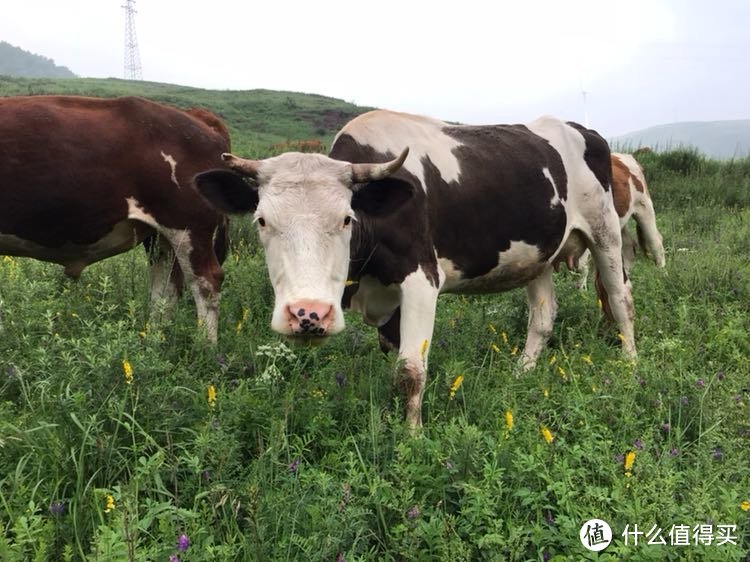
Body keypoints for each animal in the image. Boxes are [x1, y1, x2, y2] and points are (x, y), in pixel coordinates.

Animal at [0, 94, 229, 340]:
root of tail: (195, 115)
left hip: (188, 228)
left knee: (206, 284)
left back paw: (204, 345)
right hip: (161, 238)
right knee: (166, 286)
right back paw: (154, 340)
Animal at [195, 108, 636, 424]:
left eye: (346, 219)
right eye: (261, 221)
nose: (308, 314)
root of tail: (583, 130)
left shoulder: (421, 279)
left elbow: (410, 370)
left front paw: (412, 439)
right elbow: (394, 359)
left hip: (605, 232)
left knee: (620, 300)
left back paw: (631, 365)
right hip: (538, 255)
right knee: (542, 318)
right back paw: (522, 374)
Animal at [576, 151, 668, 286]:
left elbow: (581, 265)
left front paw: (581, 290)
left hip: (644, 206)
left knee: (655, 241)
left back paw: (661, 273)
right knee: (629, 246)